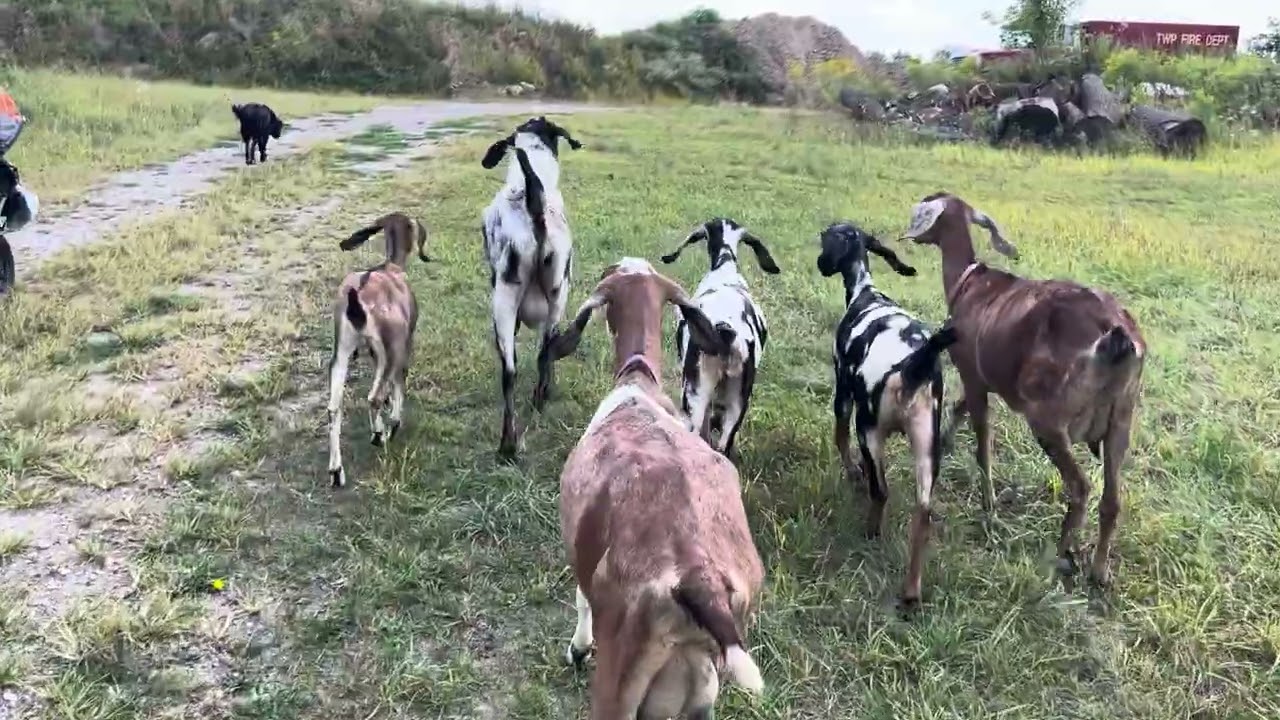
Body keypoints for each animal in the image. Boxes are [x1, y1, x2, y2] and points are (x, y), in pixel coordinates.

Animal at [326, 213, 431, 488]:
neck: (391, 267)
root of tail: (357, 300)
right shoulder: (403, 345)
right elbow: (398, 386)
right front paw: (393, 421)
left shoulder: (376, 354)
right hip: (393, 349)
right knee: (373, 397)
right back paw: (379, 433)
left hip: (341, 353)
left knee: (334, 409)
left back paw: (336, 470)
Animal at [479, 115, 583, 460]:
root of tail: (534, 202)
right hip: (558, 299)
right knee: (545, 352)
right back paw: (541, 398)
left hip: (503, 302)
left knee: (509, 373)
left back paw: (507, 444)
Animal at [550, 257, 766, 719]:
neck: (638, 383)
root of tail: (700, 582)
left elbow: (580, 598)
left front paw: (578, 649)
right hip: (700, 692)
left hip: (618, 688)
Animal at [817, 222, 957, 606]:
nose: (821, 265)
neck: (867, 293)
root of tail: (914, 365)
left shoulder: (843, 394)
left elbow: (840, 437)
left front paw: (853, 471)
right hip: (927, 447)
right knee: (922, 514)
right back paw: (911, 592)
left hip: (869, 428)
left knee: (881, 491)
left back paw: (870, 532)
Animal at [899, 192, 1146, 590]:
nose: (914, 237)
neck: (968, 285)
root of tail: (1118, 337)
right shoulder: (984, 376)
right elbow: (959, 407)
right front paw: (945, 442)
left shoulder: (972, 372)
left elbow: (982, 443)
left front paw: (989, 505)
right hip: (1122, 418)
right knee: (1112, 499)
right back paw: (1098, 572)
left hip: (1047, 418)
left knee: (1080, 487)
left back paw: (1056, 557)